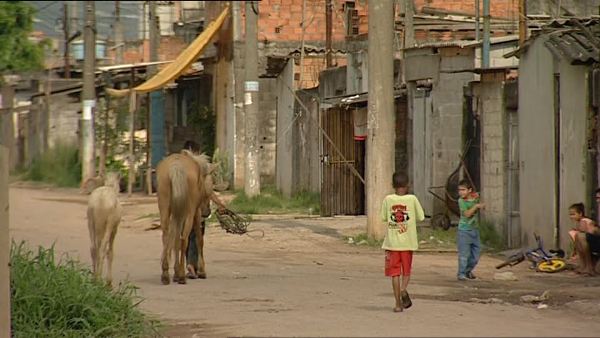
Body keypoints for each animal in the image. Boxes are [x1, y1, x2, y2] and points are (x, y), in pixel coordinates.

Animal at [156, 149, 214, 284]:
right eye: (209, 187)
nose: (207, 212)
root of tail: (176, 167)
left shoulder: (178, 213)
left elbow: (175, 240)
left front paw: (175, 272)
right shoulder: (196, 213)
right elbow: (199, 239)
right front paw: (201, 271)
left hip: (165, 208)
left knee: (166, 237)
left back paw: (166, 274)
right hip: (189, 212)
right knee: (184, 239)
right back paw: (182, 276)